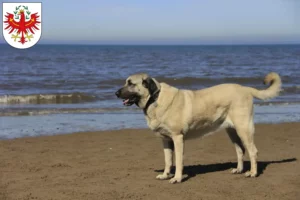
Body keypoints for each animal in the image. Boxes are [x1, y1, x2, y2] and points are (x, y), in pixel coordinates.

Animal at [115, 72, 282, 184]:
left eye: (131, 83)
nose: (116, 93)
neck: (154, 99)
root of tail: (245, 88)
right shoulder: (166, 140)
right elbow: (168, 160)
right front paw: (165, 175)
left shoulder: (178, 138)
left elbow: (178, 161)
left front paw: (177, 178)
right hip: (232, 131)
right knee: (240, 150)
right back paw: (239, 169)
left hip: (243, 129)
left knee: (253, 151)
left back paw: (252, 173)